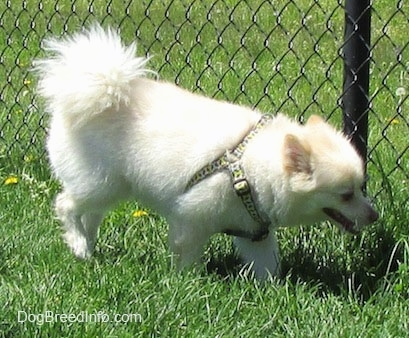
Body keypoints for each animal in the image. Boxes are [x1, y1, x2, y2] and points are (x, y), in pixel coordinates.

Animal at [33, 25, 378, 280]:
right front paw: (187, 283)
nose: (374, 216)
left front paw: (272, 292)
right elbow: (186, 257)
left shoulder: (255, 233)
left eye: (361, 188)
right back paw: (78, 244)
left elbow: (267, 267)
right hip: (99, 183)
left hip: (109, 188)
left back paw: (87, 250)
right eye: (346, 195)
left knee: (89, 215)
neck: (249, 169)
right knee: (66, 205)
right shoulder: (191, 219)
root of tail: (102, 89)